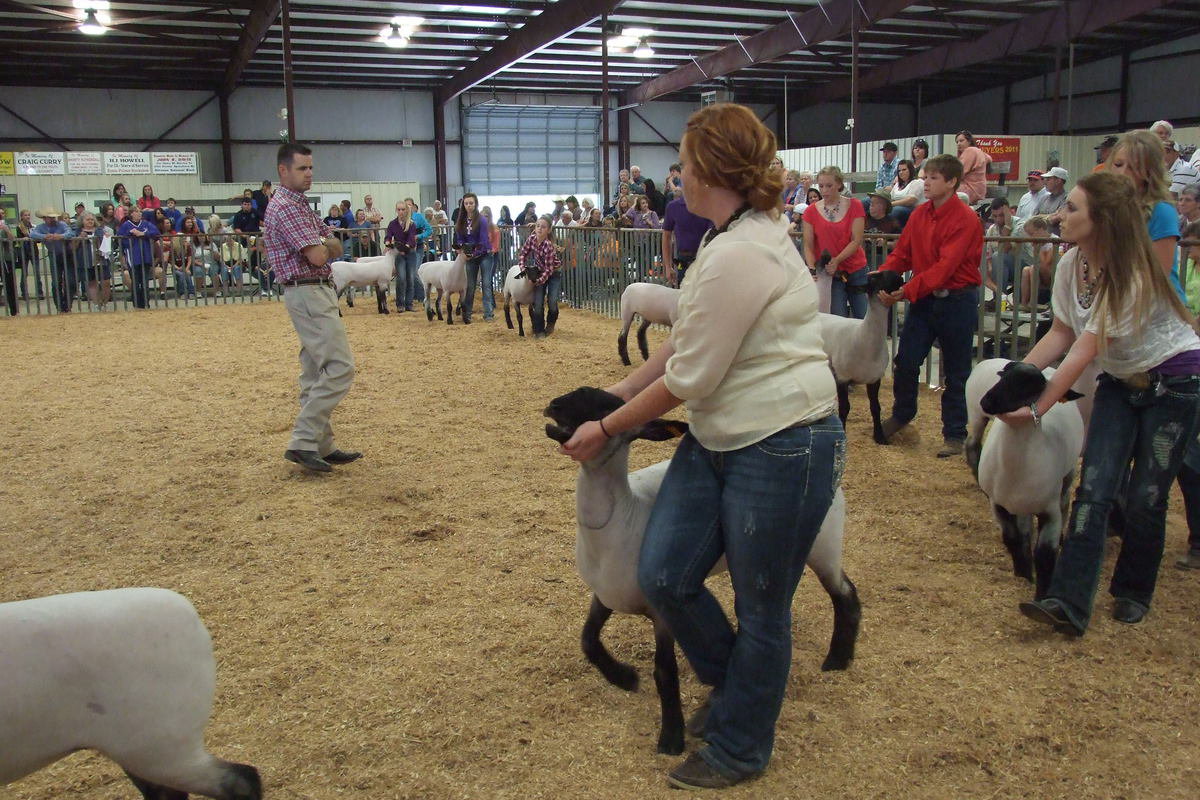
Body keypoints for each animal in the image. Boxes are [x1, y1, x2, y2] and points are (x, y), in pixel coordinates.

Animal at [544, 386, 860, 756]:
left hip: (822, 543)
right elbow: (588, 640)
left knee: (844, 593)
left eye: (607, 409)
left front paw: (671, 738)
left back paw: (837, 660)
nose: (553, 406)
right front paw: (623, 678)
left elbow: (664, 672)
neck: (620, 516)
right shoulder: (605, 594)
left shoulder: (661, 613)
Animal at [817, 270, 905, 443]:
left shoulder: (874, 378)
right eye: (874, 278)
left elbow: (875, 408)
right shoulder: (842, 377)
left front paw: (880, 437)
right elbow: (845, 408)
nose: (899, 275)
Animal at [965, 359, 1085, 599]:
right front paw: (1023, 574)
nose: (987, 400)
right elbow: (1011, 538)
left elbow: (1045, 554)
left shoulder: (1050, 512)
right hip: (976, 415)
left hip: (1067, 476)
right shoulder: (998, 505)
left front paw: (1042, 594)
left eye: (1030, 387)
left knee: (1065, 501)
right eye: (1003, 376)